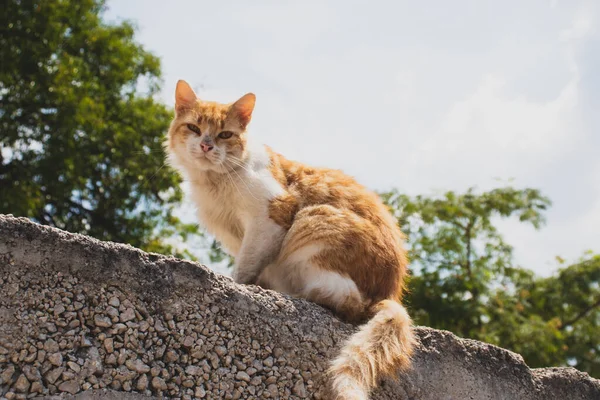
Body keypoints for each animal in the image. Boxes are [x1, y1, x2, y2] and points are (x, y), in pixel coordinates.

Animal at [165, 79, 418, 398]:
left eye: (225, 135)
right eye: (194, 128)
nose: (206, 145)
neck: (214, 182)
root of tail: (391, 292)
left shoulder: (271, 217)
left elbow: (245, 267)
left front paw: (238, 285)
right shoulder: (238, 236)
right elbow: (252, 264)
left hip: (312, 223)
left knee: (349, 300)